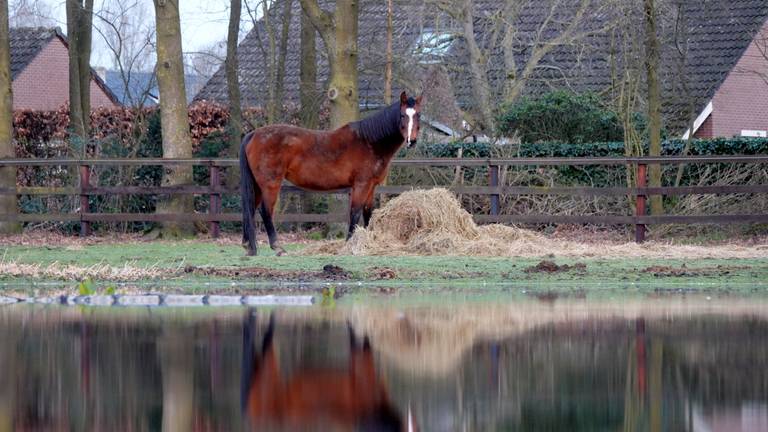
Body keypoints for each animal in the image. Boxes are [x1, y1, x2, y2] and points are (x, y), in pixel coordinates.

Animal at [240, 90, 424, 253]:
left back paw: (249, 246)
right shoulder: (361, 185)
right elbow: (355, 212)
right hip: (270, 184)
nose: (412, 141)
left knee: (251, 208)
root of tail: (253, 134)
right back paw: (277, 247)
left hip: (258, 186)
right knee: (265, 211)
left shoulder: (371, 186)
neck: (369, 142)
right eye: (402, 115)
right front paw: (350, 242)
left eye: (418, 115)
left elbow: (367, 213)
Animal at [242, 312, 416, 430]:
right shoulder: (361, 365)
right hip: (269, 374)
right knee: (256, 337)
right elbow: (354, 331)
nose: (411, 416)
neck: (370, 411)